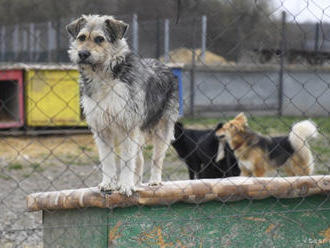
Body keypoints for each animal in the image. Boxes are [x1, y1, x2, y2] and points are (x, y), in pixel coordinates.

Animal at [66, 15, 178, 196]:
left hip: (162, 131)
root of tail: (164, 66)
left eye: (99, 39)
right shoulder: (102, 129)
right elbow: (108, 162)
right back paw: (137, 183)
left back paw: (154, 181)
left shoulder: (128, 127)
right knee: (139, 160)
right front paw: (108, 184)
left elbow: (127, 161)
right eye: (81, 38)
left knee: (156, 159)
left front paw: (125, 185)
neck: (103, 75)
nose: (82, 54)